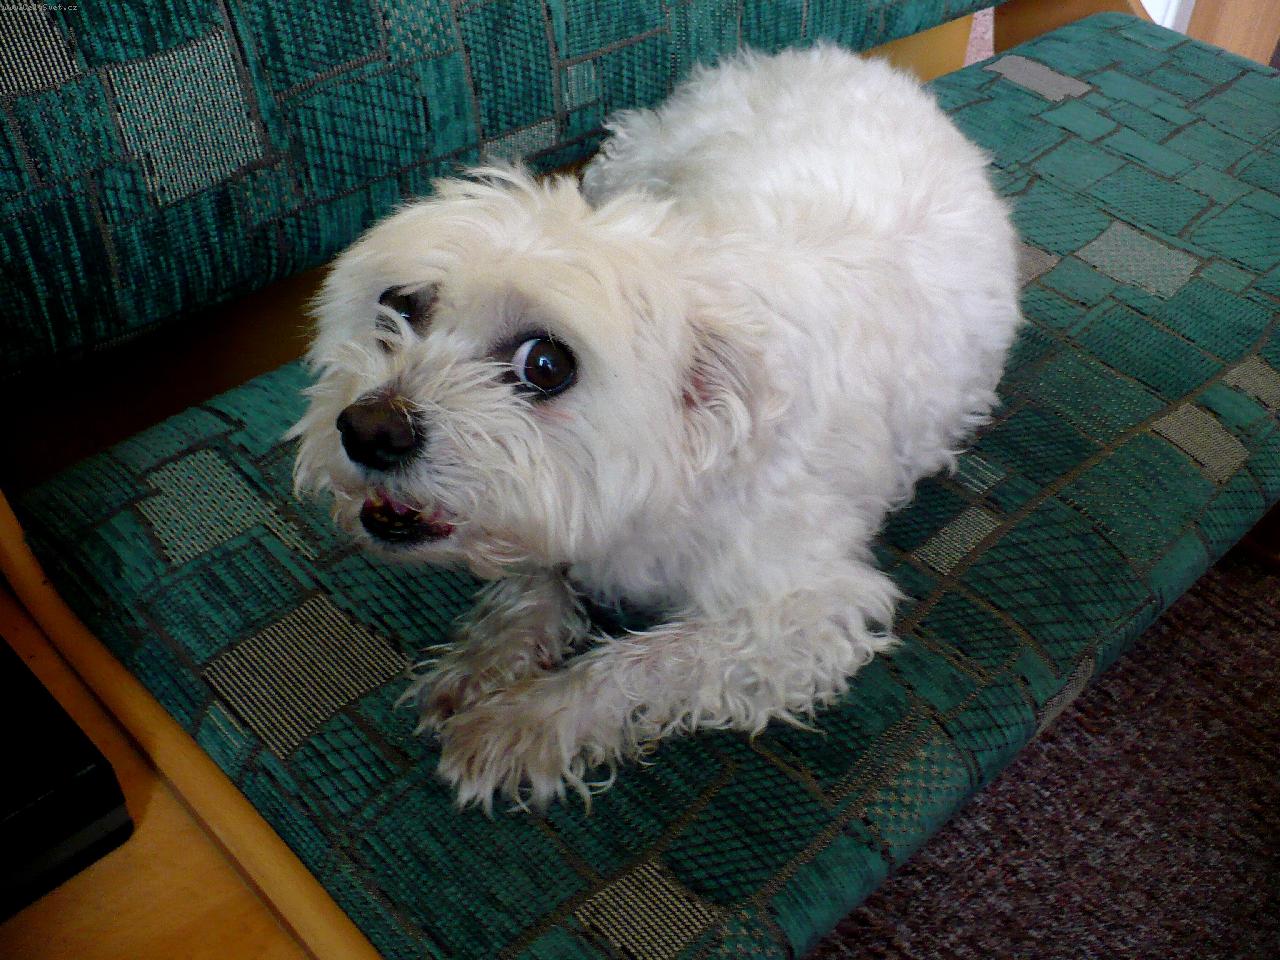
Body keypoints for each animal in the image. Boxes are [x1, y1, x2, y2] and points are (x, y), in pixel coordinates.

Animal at [290, 45, 1022, 812]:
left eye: (545, 365)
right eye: (399, 306)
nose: (370, 429)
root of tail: (841, 59)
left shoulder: (805, 618)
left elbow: (646, 662)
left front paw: (526, 722)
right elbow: (534, 580)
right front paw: (488, 656)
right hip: (631, 160)